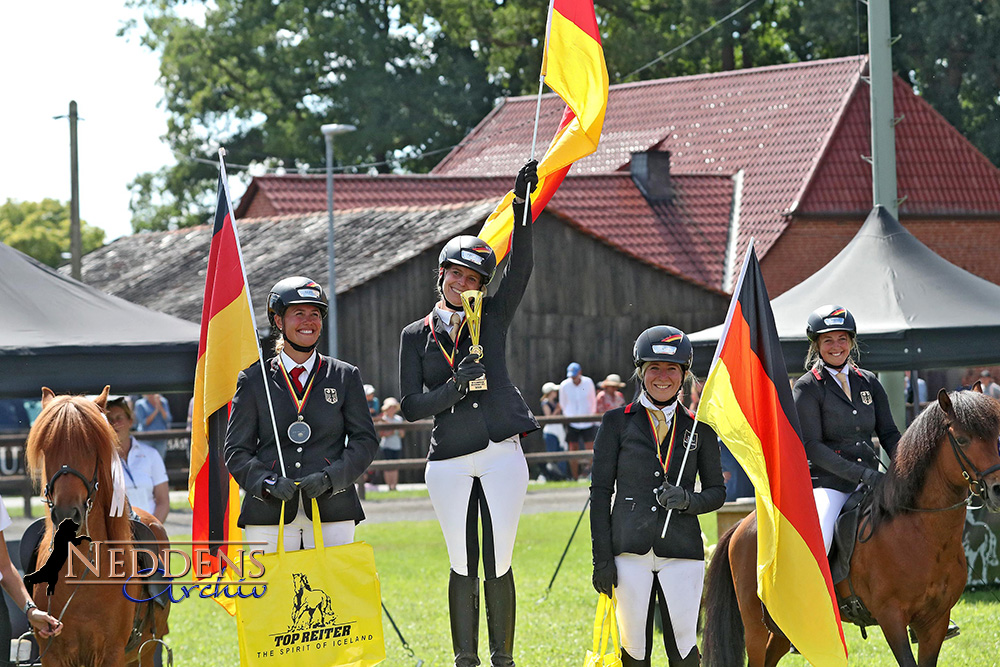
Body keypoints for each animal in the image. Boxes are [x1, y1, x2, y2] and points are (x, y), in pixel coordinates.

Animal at [23, 388, 170, 664]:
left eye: (90, 448)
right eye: (48, 446)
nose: (67, 514)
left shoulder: (111, 653)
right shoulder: (53, 654)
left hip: (146, 651)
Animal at [700, 386, 1000, 667]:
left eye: (996, 436)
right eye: (962, 439)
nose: (997, 489)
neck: (922, 534)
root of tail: (743, 524)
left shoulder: (935, 621)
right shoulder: (891, 618)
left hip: (783, 629)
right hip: (754, 626)